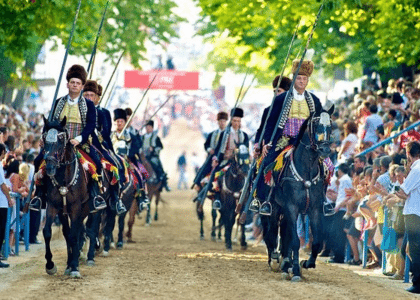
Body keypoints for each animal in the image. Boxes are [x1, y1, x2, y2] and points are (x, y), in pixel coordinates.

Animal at [40, 116, 90, 276]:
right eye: (44, 138)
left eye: (61, 139)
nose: (50, 167)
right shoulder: (53, 206)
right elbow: (47, 232)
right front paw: (50, 265)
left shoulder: (76, 207)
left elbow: (74, 235)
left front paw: (75, 267)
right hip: (63, 212)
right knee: (68, 232)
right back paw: (69, 264)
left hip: (84, 209)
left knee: (77, 231)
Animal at [260, 107, 334, 282]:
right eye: (315, 125)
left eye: (331, 126)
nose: (325, 150)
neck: (306, 169)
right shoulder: (291, 207)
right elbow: (294, 241)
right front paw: (295, 271)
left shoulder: (314, 209)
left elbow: (316, 242)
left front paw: (305, 263)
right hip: (274, 207)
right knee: (272, 231)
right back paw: (276, 260)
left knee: (283, 233)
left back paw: (285, 263)